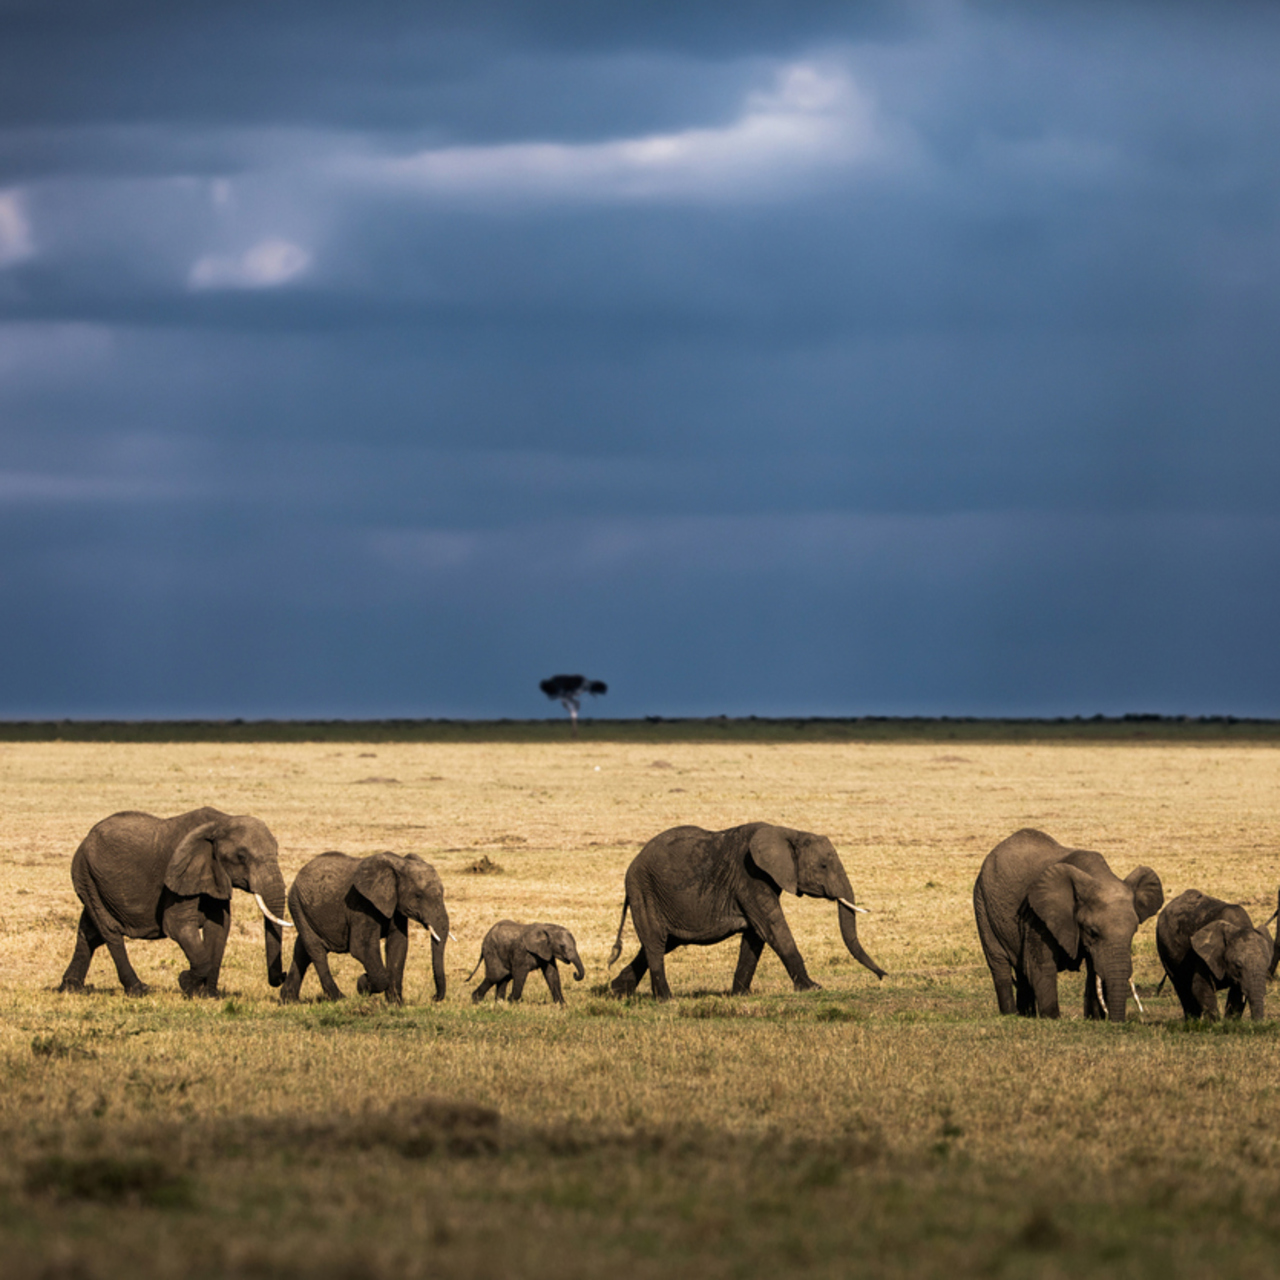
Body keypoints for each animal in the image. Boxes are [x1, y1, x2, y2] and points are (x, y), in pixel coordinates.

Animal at [58, 808, 293, 998]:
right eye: (242, 856)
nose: (282, 975)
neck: (221, 822)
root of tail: (86, 839)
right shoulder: (178, 874)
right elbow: (178, 925)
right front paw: (186, 983)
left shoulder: (212, 873)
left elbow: (219, 927)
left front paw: (210, 995)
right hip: (86, 874)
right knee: (109, 930)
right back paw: (139, 990)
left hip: (93, 881)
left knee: (90, 931)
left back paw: (70, 988)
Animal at [282, 855, 453, 1003]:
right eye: (418, 896)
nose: (433, 997)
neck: (397, 864)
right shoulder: (362, 904)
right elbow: (361, 948)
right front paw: (363, 984)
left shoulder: (395, 906)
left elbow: (398, 945)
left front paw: (396, 1004)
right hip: (296, 903)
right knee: (316, 950)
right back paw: (339, 998)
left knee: (302, 950)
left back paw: (289, 1000)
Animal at [604, 819, 885, 998]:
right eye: (824, 866)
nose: (883, 976)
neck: (787, 832)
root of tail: (633, 863)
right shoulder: (750, 876)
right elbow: (773, 929)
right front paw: (813, 988)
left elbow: (755, 936)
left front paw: (740, 995)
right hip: (644, 891)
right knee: (655, 943)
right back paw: (665, 999)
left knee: (661, 943)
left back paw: (617, 992)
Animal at [972, 824, 1167, 1024]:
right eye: (1093, 932)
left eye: (1134, 932)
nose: (1115, 1021)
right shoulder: (1036, 914)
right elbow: (1041, 966)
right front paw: (1052, 1019)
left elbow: (1094, 970)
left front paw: (1094, 1019)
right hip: (982, 905)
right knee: (999, 965)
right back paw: (1010, 1014)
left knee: (1021, 971)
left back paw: (1026, 1015)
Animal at [1152, 890, 1269, 1018]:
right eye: (1238, 965)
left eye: (1266, 966)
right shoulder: (1203, 955)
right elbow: (1201, 987)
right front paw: (1216, 1022)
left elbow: (1237, 994)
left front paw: (1230, 1022)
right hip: (1164, 947)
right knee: (1182, 986)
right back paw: (1193, 1020)